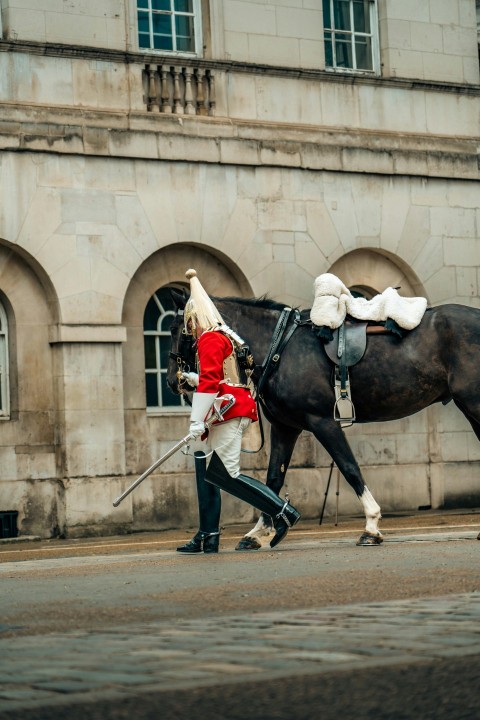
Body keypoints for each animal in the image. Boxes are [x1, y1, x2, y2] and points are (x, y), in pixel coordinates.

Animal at [166, 290, 480, 548]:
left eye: (175, 328)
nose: (173, 380)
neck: (280, 344)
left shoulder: (322, 422)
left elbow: (350, 468)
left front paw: (371, 526)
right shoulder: (285, 427)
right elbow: (273, 478)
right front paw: (258, 532)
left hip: (473, 403)